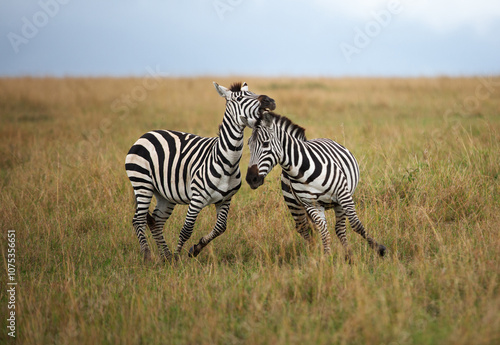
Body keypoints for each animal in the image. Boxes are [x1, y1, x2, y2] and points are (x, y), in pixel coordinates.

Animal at [124, 82, 274, 260]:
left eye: (253, 92)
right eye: (239, 98)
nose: (270, 100)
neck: (226, 162)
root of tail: (146, 135)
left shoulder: (225, 199)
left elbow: (221, 227)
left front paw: (194, 249)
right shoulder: (197, 198)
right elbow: (187, 229)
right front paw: (178, 258)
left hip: (165, 195)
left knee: (156, 221)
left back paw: (165, 256)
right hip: (142, 183)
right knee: (138, 220)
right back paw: (148, 256)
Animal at [246, 111, 386, 260]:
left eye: (265, 144)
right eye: (248, 145)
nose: (251, 179)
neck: (300, 170)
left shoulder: (343, 194)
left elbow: (355, 224)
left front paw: (379, 249)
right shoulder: (311, 204)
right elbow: (323, 231)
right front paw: (327, 257)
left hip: (339, 201)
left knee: (339, 229)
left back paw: (348, 255)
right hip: (295, 205)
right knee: (304, 228)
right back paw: (313, 252)